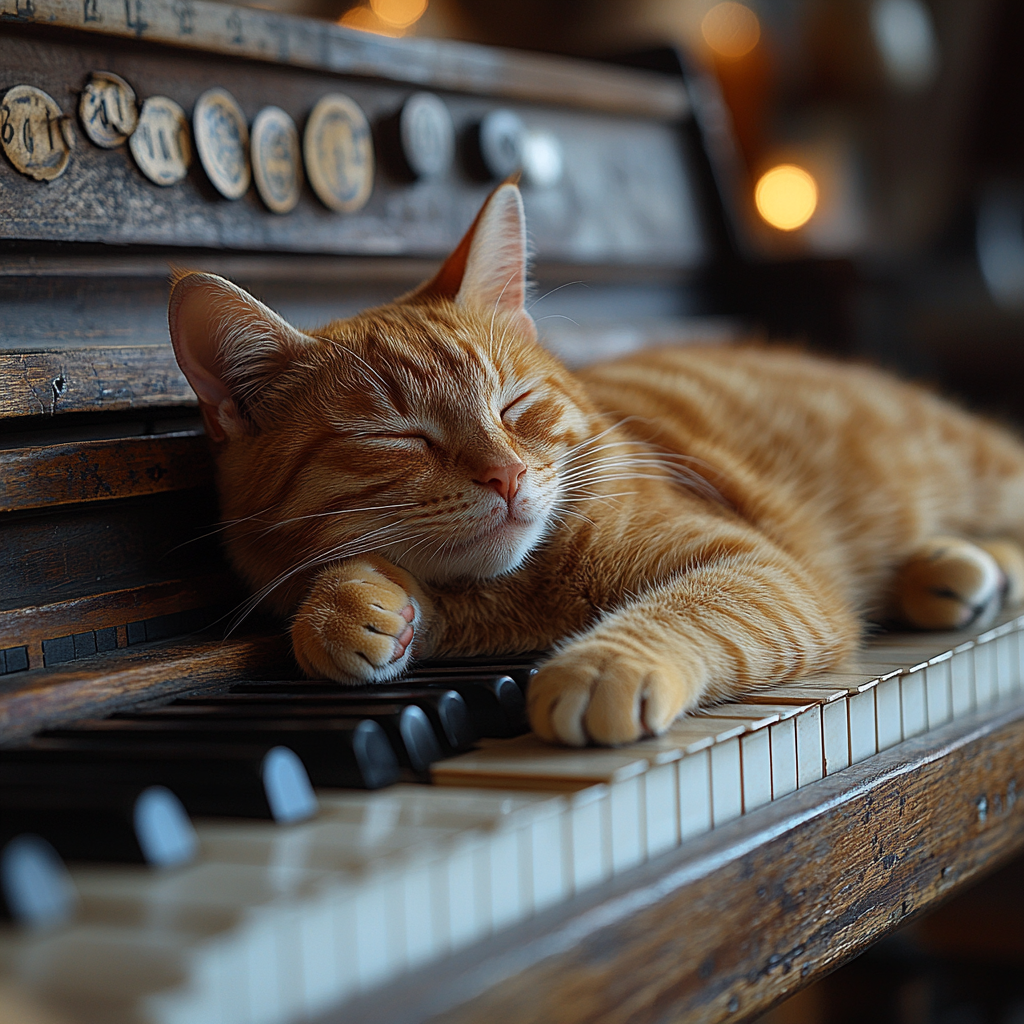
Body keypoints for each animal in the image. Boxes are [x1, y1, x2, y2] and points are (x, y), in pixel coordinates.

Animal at [167, 182, 1024, 745]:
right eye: (402, 438)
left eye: (513, 406)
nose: (506, 475)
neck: (524, 592)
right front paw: (345, 607)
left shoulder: (767, 571)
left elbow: (694, 606)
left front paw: (602, 667)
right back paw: (953, 569)